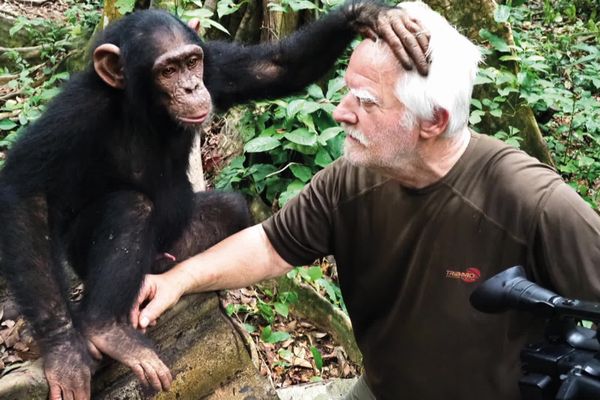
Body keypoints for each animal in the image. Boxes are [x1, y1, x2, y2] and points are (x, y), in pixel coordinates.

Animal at [0, 3, 426, 400]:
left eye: (191, 62)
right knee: (129, 207)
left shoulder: (216, 68)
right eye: (167, 71)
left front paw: (369, 16)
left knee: (230, 210)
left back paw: (158, 277)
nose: (191, 88)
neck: (145, 110)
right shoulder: (77, 111)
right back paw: (105, 329)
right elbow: (25, 190)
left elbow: (274, 68)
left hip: (174, 244)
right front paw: (64, 351)